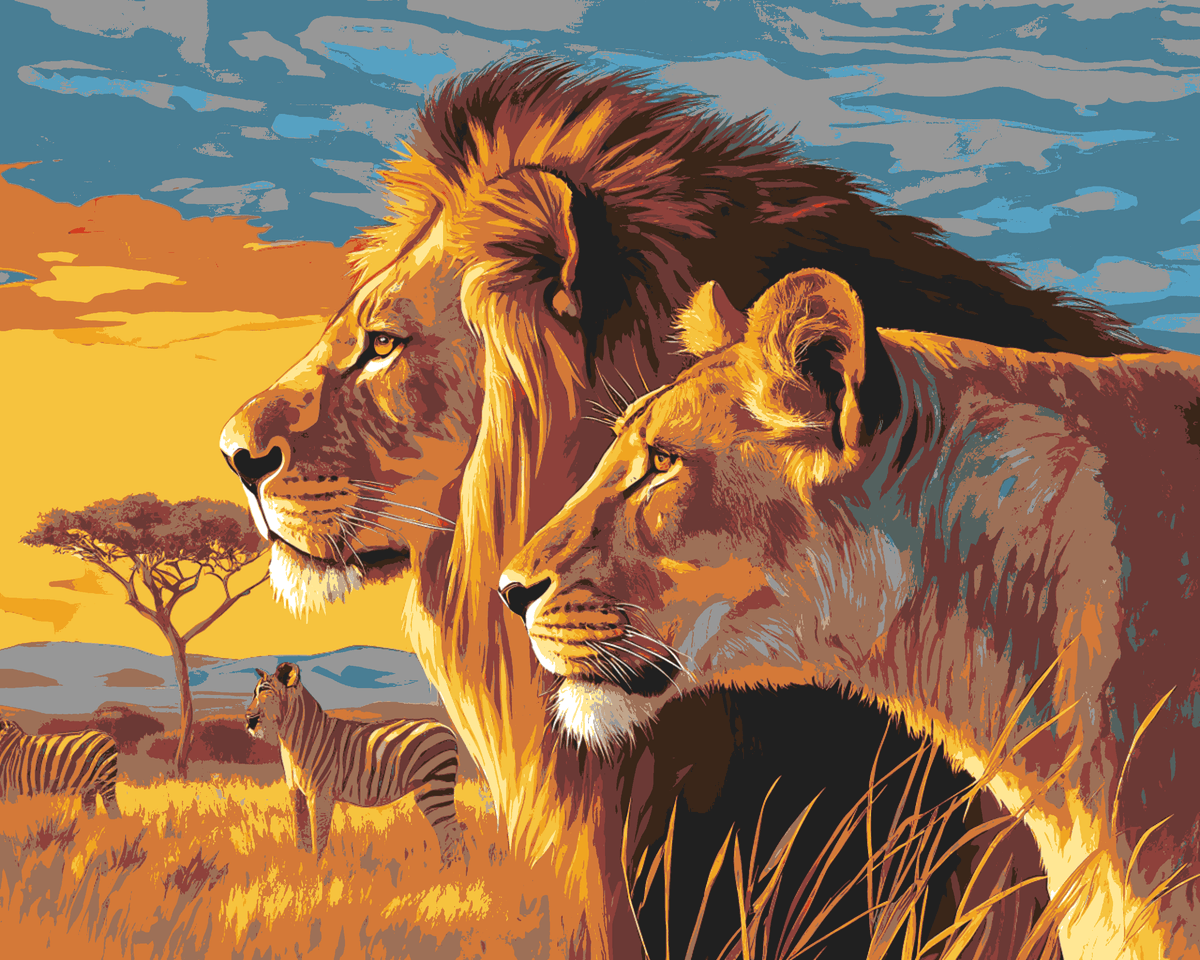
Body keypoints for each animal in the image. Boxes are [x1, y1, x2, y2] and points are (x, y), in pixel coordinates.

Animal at [244, 662, 465, 863]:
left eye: (265, 691)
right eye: (254, 692)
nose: (248, 719)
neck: (292, 741)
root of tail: (446, 727)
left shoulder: (320, 795)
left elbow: (319, 842)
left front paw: (319, 875)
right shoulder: (295, 793)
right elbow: (302, 839)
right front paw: (302, 872)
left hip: (434, 788)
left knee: (453, 834)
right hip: (428, 791)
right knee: (450, 834)